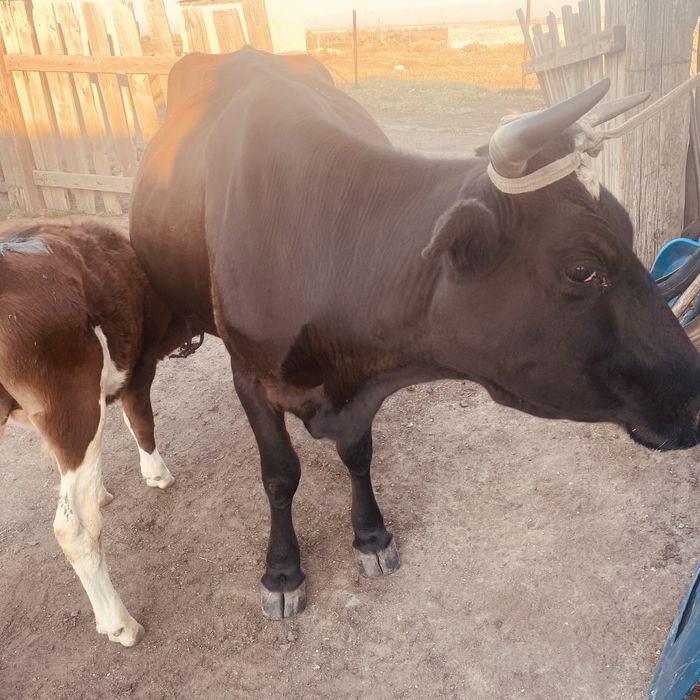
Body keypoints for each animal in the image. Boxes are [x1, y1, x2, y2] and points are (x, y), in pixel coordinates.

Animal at [0, 222, 189, 647]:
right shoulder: (139, 365)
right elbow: (140, 420)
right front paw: (157, 475)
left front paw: (100, 491)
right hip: (73, 404)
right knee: (72, 529)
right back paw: (119, 622)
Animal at [130, 47, 700, 622]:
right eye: (583, 269)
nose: (698, 399)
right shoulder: (251, 376)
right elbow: (280, 474)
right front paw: (283, 572)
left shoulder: (359, 385)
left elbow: (358, 455)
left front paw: (371, 537)